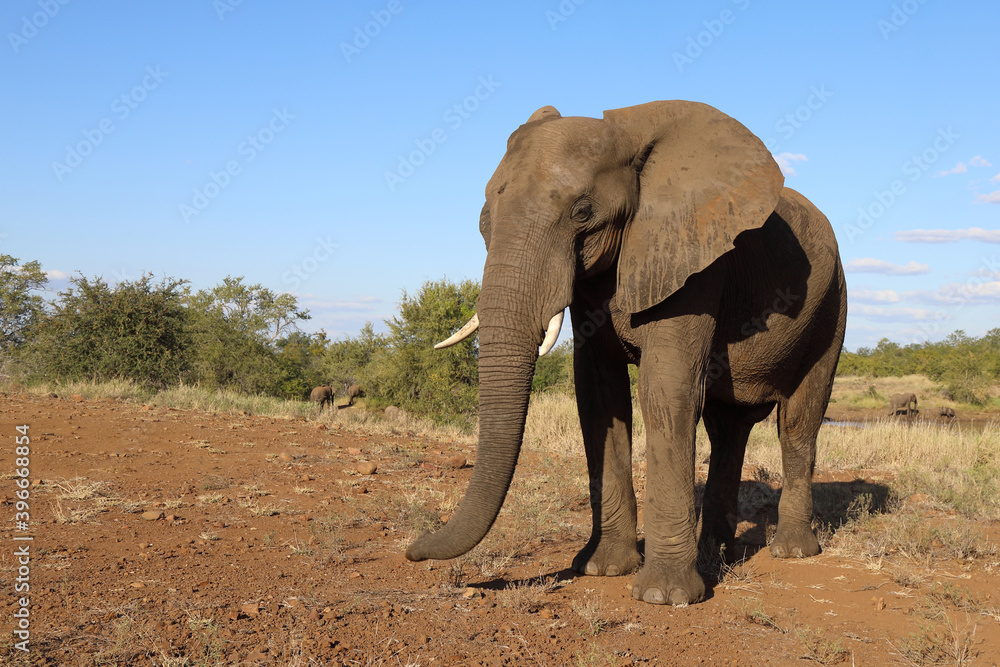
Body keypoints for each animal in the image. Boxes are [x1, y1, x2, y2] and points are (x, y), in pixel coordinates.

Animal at [404, 100, 847, 607]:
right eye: (483, 220)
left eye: (582, 212)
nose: (413, 550)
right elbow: (599, 396)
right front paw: (601, 568)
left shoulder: (690, 256)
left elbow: (665, 390)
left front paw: (665, 596)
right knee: (727, 430)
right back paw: (715, 553)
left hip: (832, 307)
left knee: (798, 421)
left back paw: (791, 551)